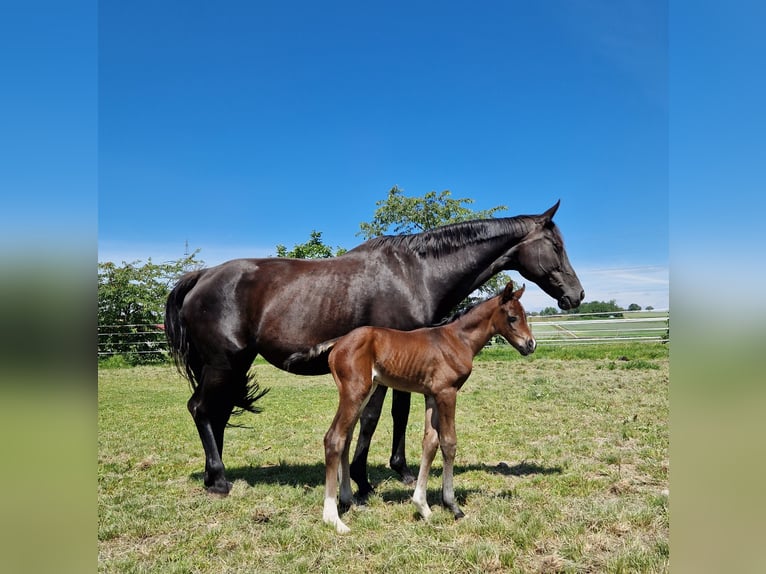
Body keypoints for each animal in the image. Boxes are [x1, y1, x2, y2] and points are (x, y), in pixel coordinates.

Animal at [165, 200, 584, 498]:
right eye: (556, 245)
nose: (576, 295)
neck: (416, 274)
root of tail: (202, 276)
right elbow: (378, 417)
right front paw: (373, 477)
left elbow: (393, 415)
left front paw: (387, 471)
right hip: (223, 364)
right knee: (201, 410)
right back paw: (219, 480)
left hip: (229, 367)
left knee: (216, 414)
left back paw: (213, 475)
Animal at [286, 284, 536, 536]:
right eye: (512, 317)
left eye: (525, 315)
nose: (530, 344)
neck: (457, 340)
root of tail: (338, 342)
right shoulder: (447, 393)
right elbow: (449, 443)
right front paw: (453, 506)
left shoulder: (432, 396)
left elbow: (430, 443)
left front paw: (423, 507)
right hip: (354, 391)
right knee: (334, 438)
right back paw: (333, 518)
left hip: (365, 392)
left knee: (345, 438)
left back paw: (348, 501)